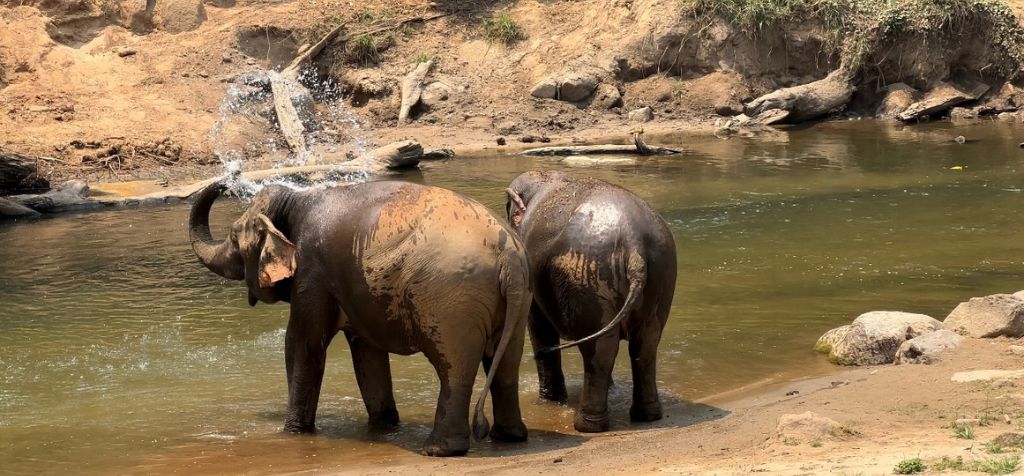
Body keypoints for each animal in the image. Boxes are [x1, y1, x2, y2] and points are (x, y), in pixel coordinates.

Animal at [187, 179, 532, 456]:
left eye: (234, 237)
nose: (227, 181)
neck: (296, 200)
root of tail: (508, 254)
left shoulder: (312, 272)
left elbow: (303, 345)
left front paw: (293, 434)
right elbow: (366, 352)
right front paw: (384, 426)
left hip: (450, 299)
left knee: (453, 368)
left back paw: (438, 450)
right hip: (517, 300)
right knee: (506, 366)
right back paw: (509, 437)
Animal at [501, 169, 675, 429]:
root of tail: (633, 241)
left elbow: (539, 328)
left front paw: (548, 403)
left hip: (587, 278)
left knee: (599, 349)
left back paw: (586, 425)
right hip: (662, 274)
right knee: (646, 344)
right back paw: (647, 416)